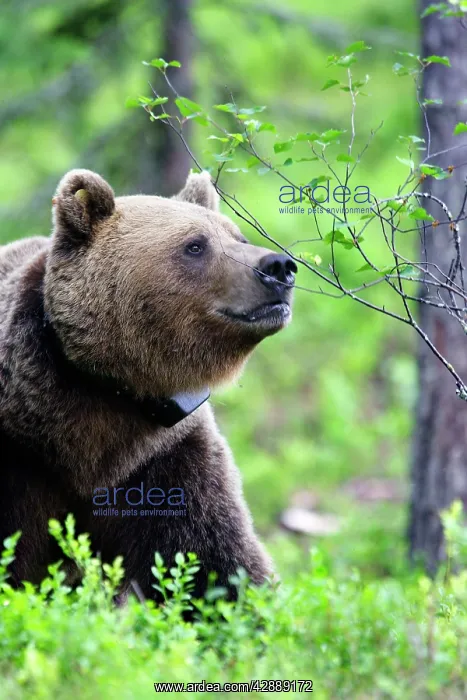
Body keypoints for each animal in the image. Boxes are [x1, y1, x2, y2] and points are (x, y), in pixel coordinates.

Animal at [0, 168, 297, 600]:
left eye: (238, 236)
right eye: (195, 245)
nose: (279, 266)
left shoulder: (164, 459)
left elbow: (213, 562)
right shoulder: (21, 459)